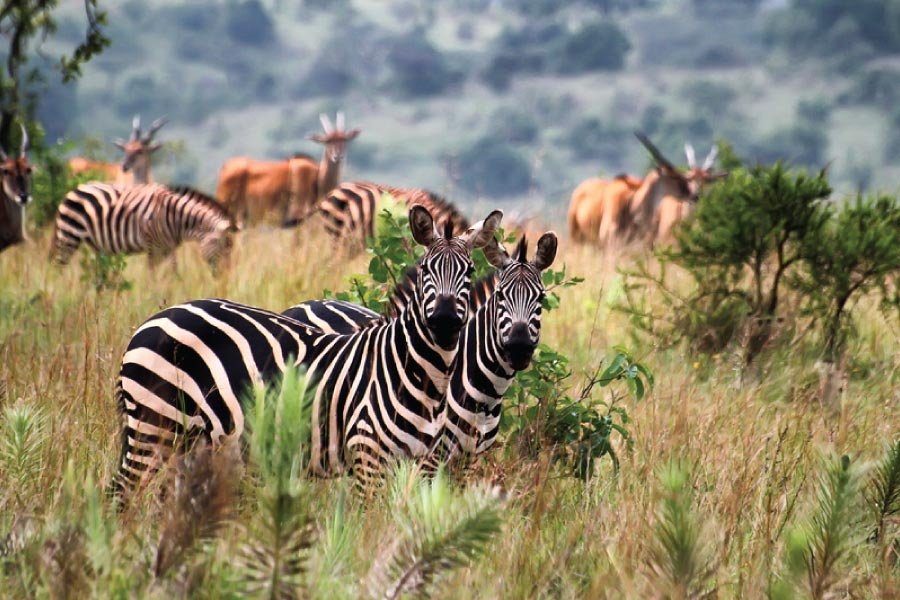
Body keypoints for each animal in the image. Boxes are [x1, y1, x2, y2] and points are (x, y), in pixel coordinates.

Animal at [50, 183, 238, 271]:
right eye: (224, 248)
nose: (225, 278)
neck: (176, 216)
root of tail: (74, 189)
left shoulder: (168, 247)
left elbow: (173, 273)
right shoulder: (153, 245)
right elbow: (153, 275)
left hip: (94, 244)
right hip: (69, 236)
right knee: (60, 267)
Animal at [112, 205, 503, 495]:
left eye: (469, 272)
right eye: (424, 270)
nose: (445, 321)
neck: (420, 375)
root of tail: (153, 319)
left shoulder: (421, 463)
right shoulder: (368, 456)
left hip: (187, 439)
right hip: (155, 422)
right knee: (123, 493)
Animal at [283, 231, 558, 467]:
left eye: (541, 298)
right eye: (501, 296)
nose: (519, 348)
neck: (486, 393)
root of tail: (303, 304)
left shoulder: (467, 460)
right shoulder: (429, 456)